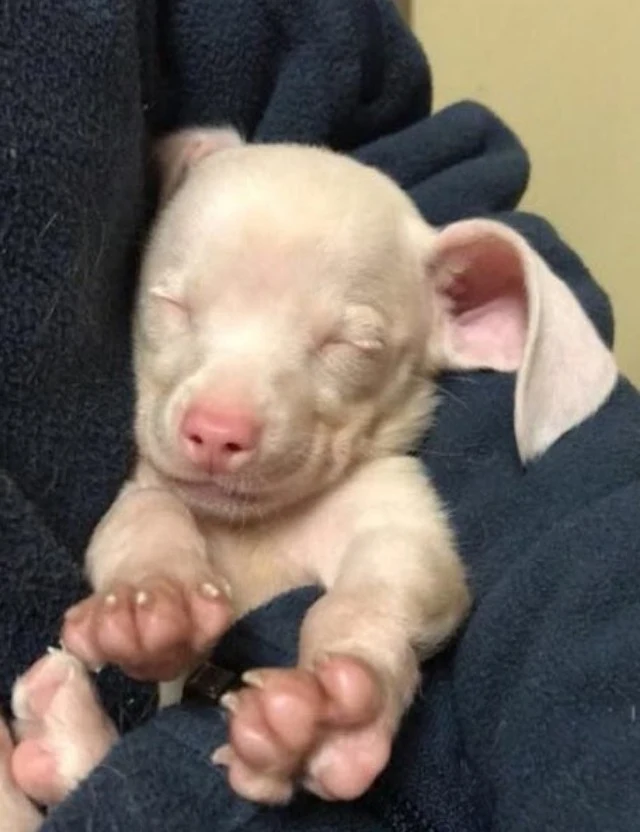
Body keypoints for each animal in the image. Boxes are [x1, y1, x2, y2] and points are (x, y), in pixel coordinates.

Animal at [0, 128, 618, 829]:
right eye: (169, 303)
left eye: (351, 345)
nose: (217, 430)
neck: (253, 531)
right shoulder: (145, 488)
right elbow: (145, 519)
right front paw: (150, 600)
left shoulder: (398, 520)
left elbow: (381, 591)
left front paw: (332, 707)